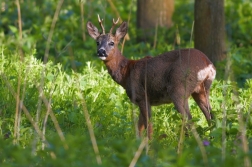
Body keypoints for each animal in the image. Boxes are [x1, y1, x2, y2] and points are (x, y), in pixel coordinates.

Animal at [86, 15, 217, 138]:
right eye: (97, 42)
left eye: (112, 43)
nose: (101, 51)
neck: (126, 72)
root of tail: (208, 64)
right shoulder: (142, 100)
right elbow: (139, 127)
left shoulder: (141, 96)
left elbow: (148, 126)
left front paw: (149, 144)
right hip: (201, 90)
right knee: (211, 116)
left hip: (179, 89)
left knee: (189, 120)